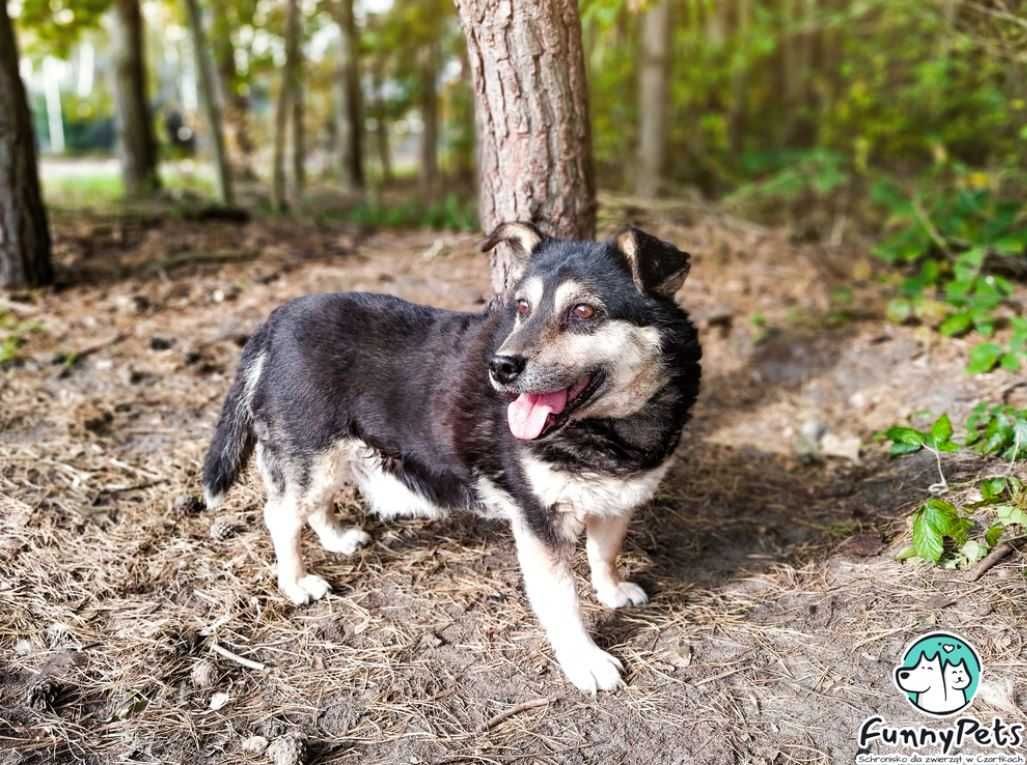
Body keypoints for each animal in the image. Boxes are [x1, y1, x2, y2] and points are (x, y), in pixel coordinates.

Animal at [206, 220, 706, 694]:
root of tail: (278, 318)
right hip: (312, 453)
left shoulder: (617, 501)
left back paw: (336, 538)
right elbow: (562, 600)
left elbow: (605, 553)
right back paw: (295, 583)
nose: (501, 367)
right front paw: (584, 659)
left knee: (312, 506)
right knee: (281, 517)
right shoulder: (539, 522)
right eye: (522, 308)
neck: (612, 428)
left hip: (326, 456)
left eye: (583, 311)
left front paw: (612, 590)